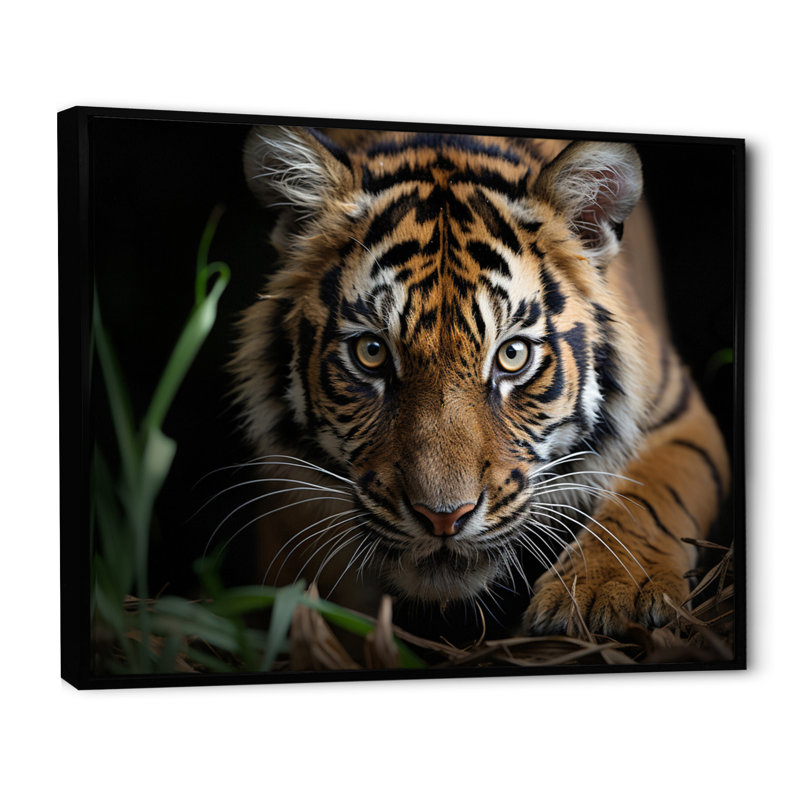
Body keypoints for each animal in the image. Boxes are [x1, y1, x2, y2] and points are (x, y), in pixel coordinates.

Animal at [231, 125, 730, 642]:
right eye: (371, 353)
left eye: (512, 355)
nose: (443, 517)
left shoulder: (676, 412)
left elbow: (648, 498)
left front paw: (608, 592)